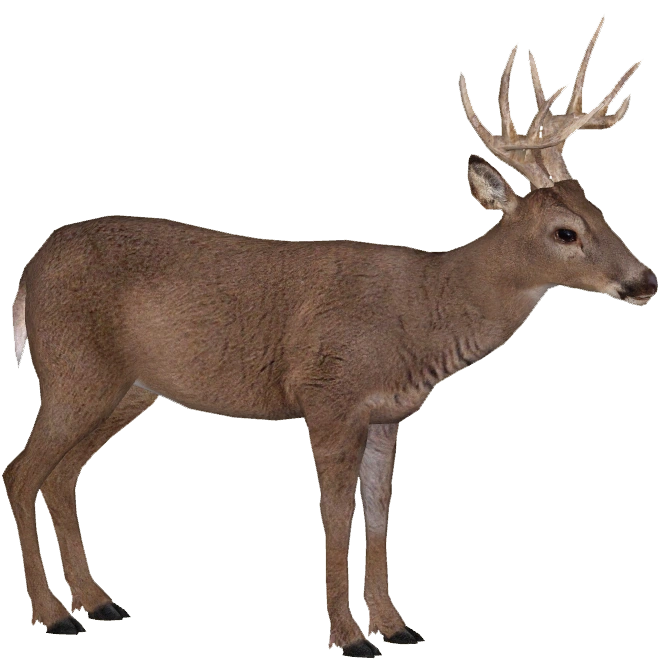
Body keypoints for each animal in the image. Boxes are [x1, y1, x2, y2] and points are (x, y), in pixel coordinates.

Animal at [3, 13, 654, 659]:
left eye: (600, 210)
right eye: (565, 232)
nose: (647, 279)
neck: (424, 310)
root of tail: (27, 270)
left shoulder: (389, 414)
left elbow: (381, 520)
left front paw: (398, 627)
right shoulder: (329, 396)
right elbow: (338, 520)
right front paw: (351, 638)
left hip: (128, 390)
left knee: (62, 477)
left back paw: (100, 603)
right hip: (71, 370)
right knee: (23, 472)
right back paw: (53, 618)